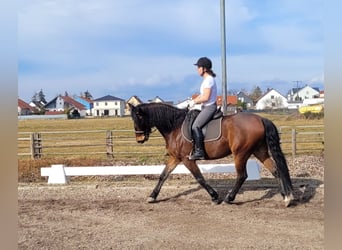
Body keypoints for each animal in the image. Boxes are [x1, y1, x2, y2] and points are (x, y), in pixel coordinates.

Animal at [128, 102, 294, 206]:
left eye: (138, 118)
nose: (139, 139)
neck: (174, 126)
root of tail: (260, 118)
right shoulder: (176, 157)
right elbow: (163, 175)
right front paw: (152, 196)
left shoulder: (187, 160)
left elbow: (199, 178)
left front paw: (215, 197)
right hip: (259, 151)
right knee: (276, 170)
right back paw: (286, 197)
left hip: (240, 153)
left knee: (242, 175)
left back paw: (229, 198)